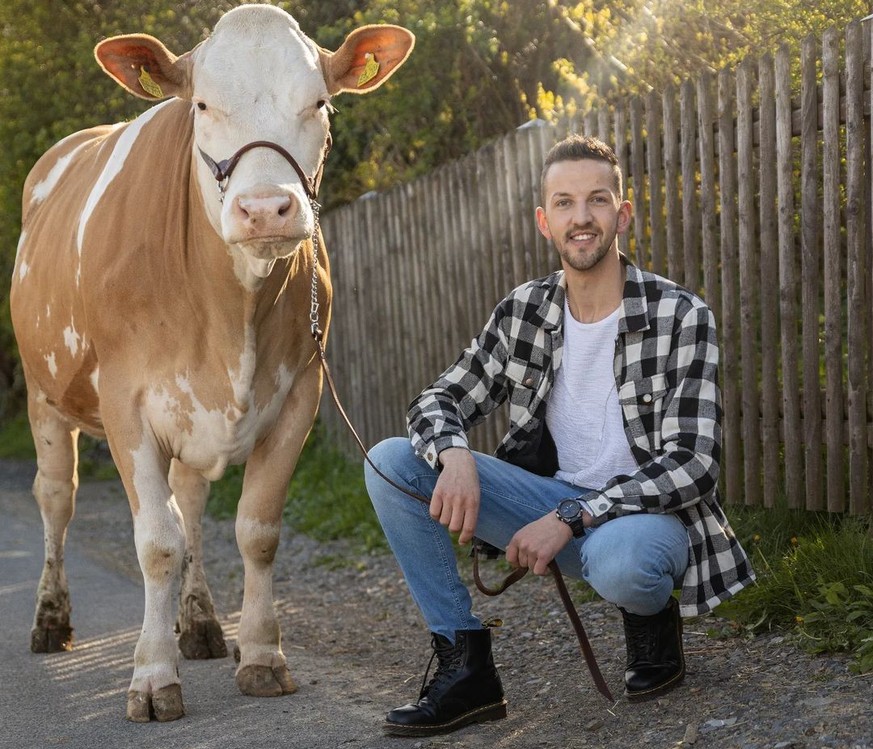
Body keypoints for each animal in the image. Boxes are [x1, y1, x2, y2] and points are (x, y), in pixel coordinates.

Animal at [10, 2, 412, 720]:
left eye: (319, 102)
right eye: (201, 104)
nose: (264, 208)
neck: (229, 317)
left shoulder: (300, 393)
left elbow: (255, 529)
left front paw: (261, 654)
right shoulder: (126, 403)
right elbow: (155, 542)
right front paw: (150, 674)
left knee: (191, 502)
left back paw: (198, 622)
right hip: (42, 393)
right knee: (57, 498)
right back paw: (51, 618)